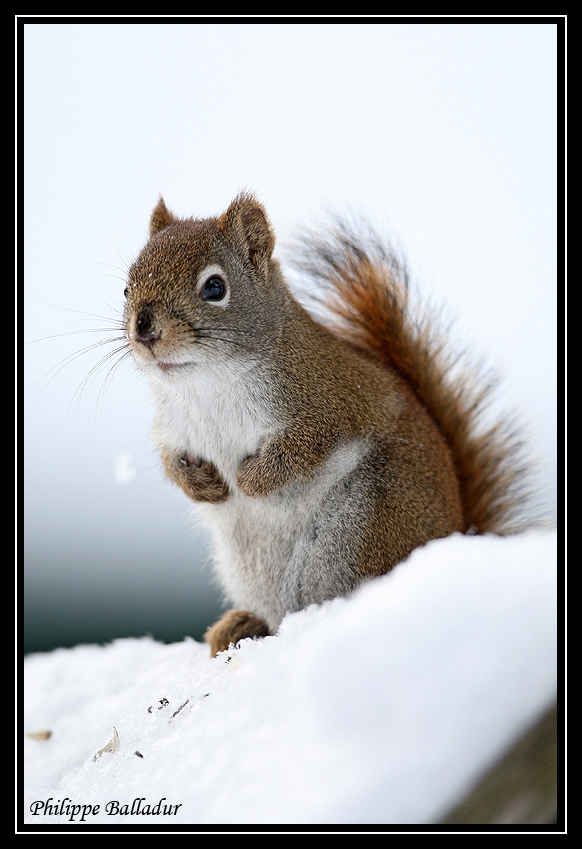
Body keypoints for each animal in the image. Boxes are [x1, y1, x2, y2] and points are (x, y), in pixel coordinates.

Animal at [125, 192, 532, 656]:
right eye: (127, 285)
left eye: (214, 287)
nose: (143, 328)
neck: (205, 384)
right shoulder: (174, 430)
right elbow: (171, 460)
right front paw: (202, 486)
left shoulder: (331, 407)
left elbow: (299, 452)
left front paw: (248, 481)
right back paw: (241, 626)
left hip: (363, 531)